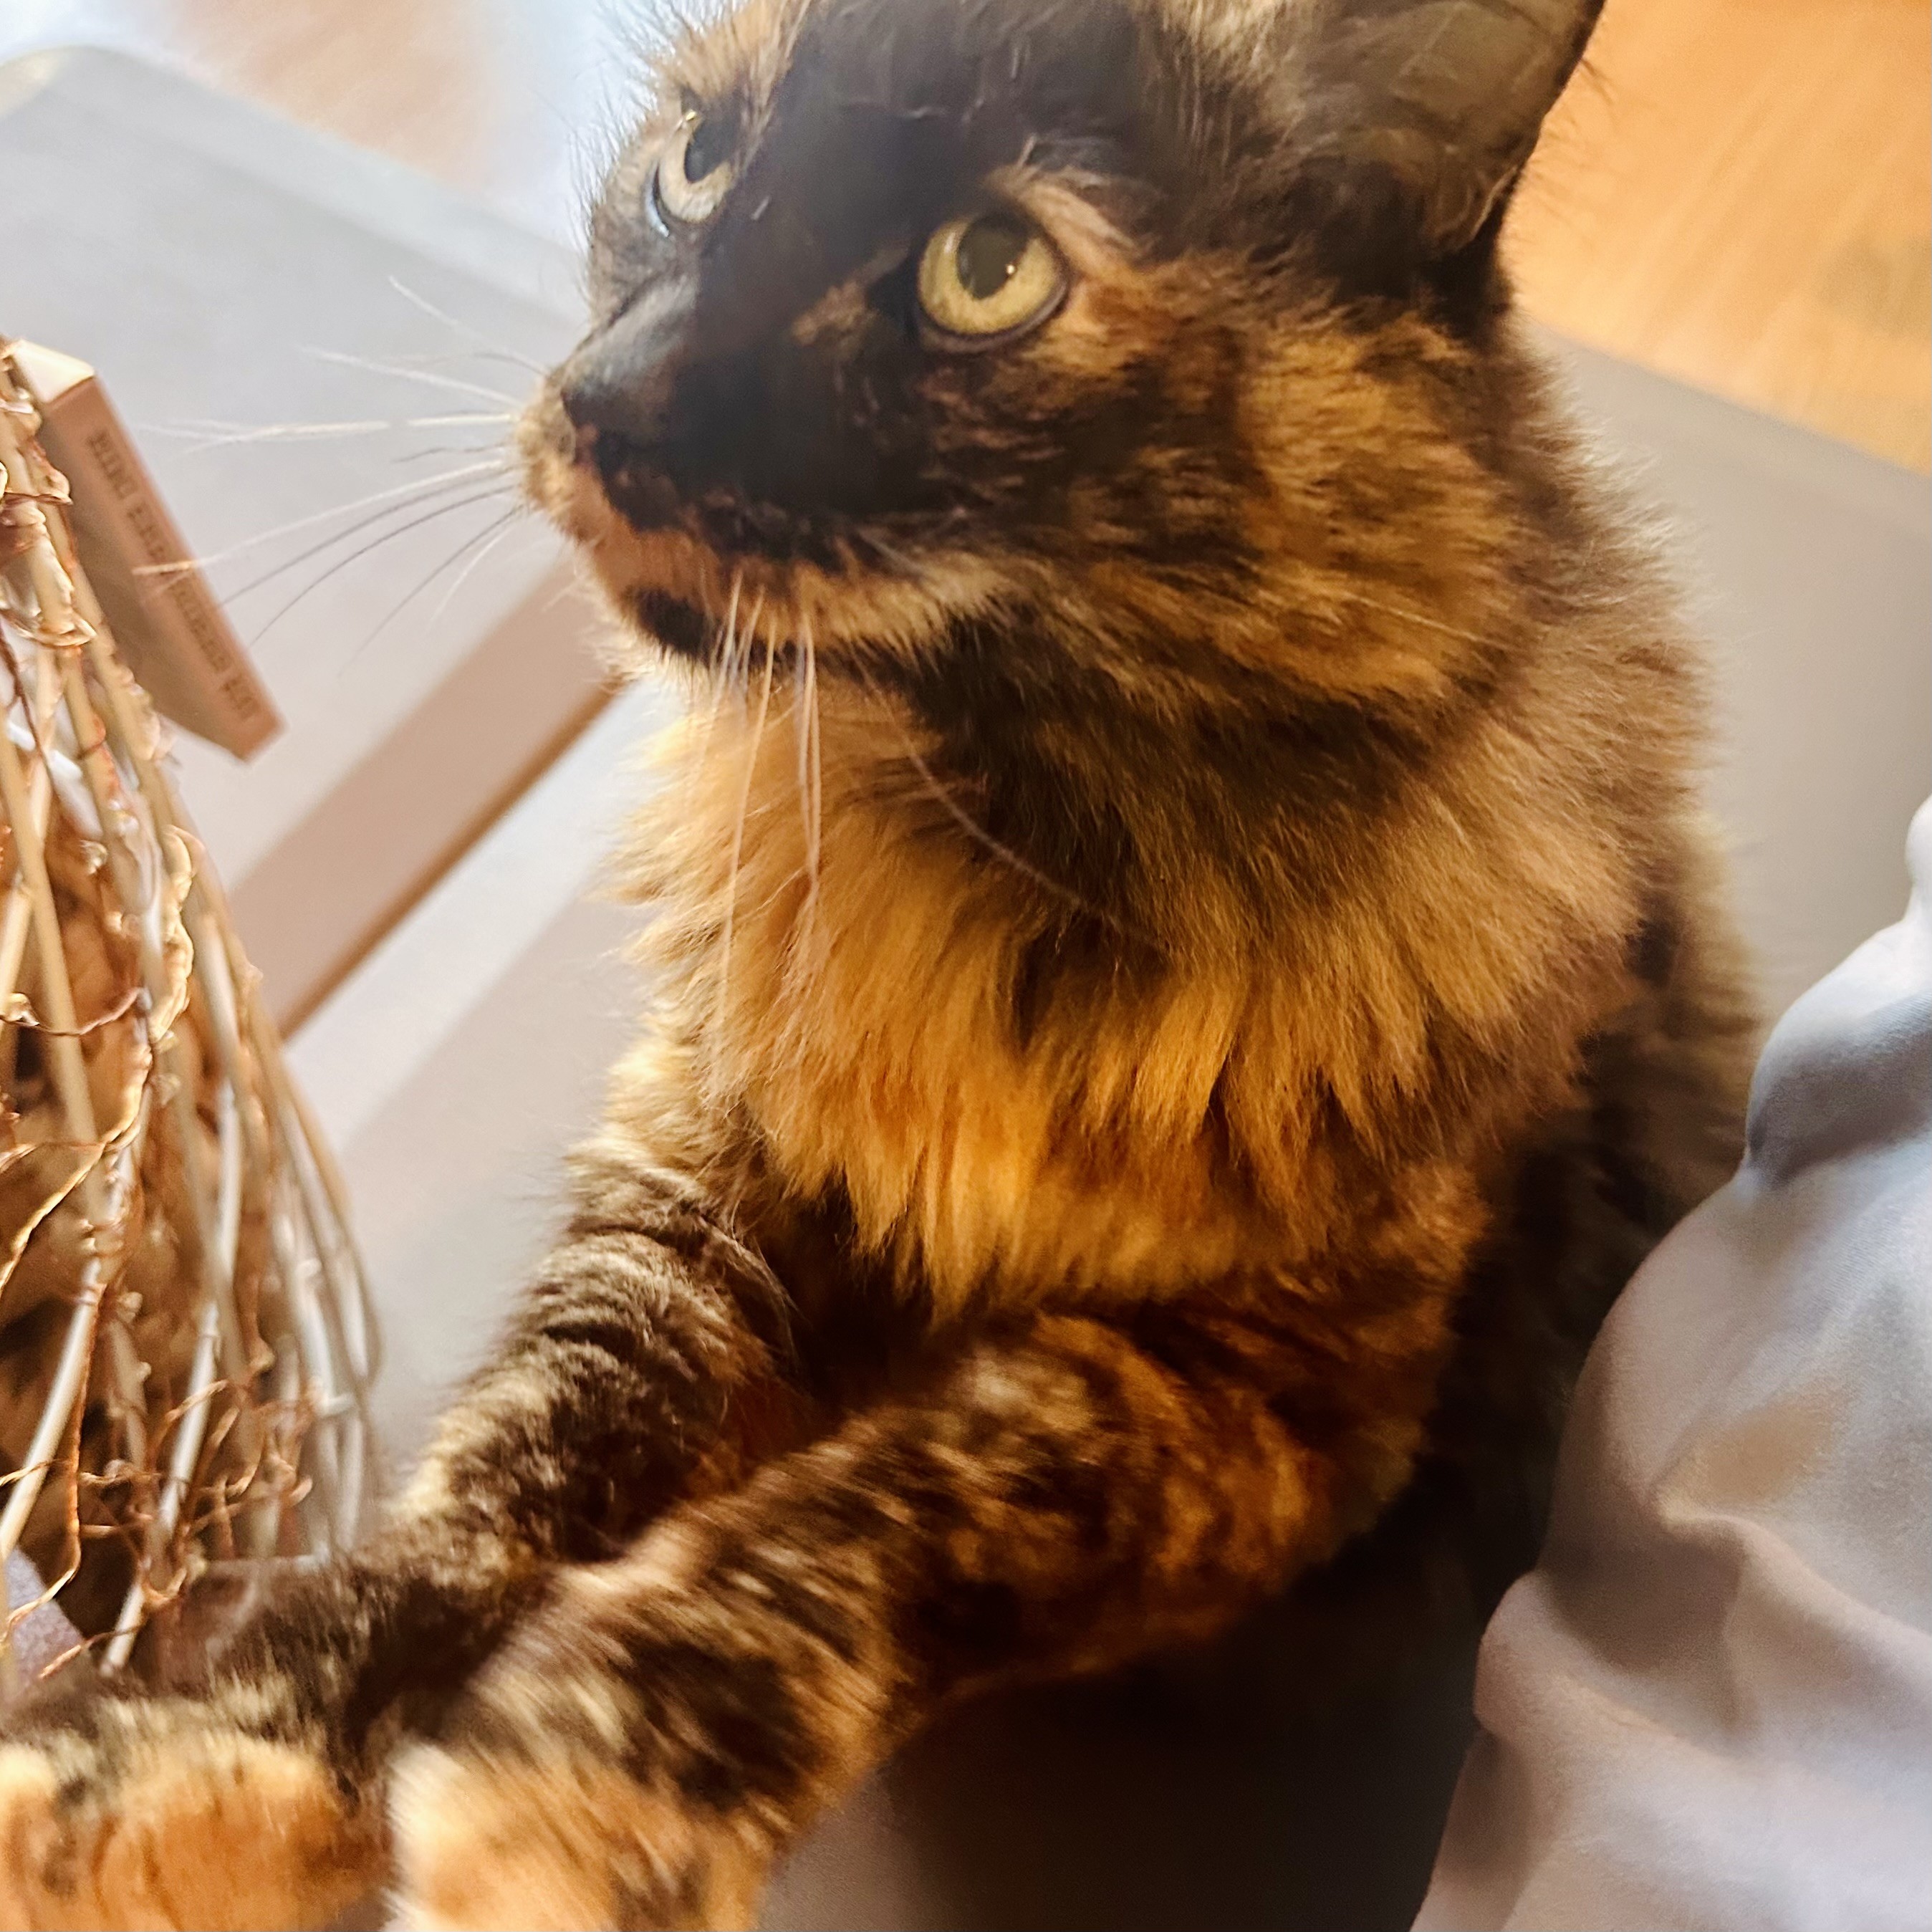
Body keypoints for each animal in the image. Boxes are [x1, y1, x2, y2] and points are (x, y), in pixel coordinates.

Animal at [0, 0, 1754, 1924]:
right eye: (698, 169)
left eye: (987, 272)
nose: (609, 395)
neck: (979, 857)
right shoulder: (690, 1202)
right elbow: (486, 1491)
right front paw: (169, 1772)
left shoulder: (1265, 1395)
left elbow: (898, 1511)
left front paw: (580, 1796)